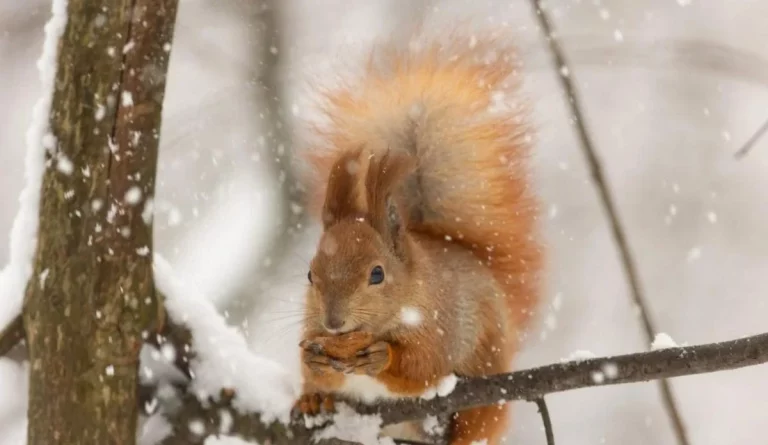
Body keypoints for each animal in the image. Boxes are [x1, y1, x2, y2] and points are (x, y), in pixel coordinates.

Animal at [292, 32, 540, 444]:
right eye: (310, 275)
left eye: (377, 274)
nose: (333, 321)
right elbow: (313, 367)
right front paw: (314, 366)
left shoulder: (439, 327)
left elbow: (423, 368)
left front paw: (383, 357)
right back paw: (314, 401)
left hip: (485, 386)